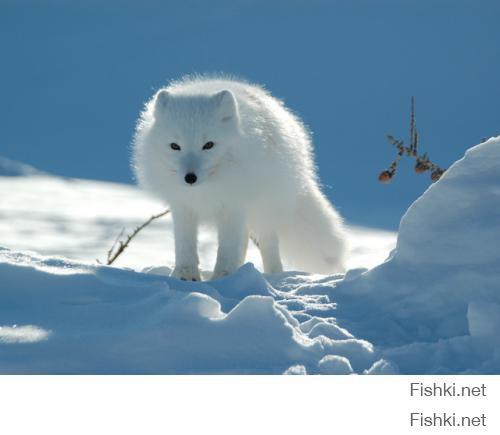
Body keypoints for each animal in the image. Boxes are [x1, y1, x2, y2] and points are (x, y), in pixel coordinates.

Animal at [131, 77, 346, 282]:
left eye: (208, 145)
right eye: (175, 146)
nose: (190, 178)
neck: (206, 189)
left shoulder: (233, 205)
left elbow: (227, 248)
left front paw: (222, 278)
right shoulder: (183, 206)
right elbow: (185, 245)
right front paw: (186, 276)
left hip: (264, 208)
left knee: (268, 242)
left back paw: (272, 275)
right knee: (243, 242)